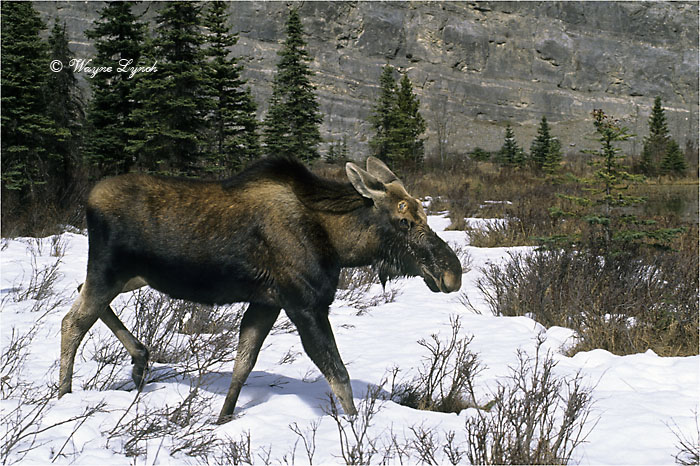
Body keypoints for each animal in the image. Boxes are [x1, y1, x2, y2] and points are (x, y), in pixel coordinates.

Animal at [58, 155, 462, 423]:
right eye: (405, 219)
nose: (451, 274)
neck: (339, 245)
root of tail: (88, 198)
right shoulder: (306, 304)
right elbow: (338, 374)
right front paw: (355, 432)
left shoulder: (267, 303)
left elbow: (243, 364)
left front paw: (222, 419)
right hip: (108, 271)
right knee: (73, 321)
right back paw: (63, 394)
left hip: (130, 277)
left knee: (81, 295)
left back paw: (141, 359)